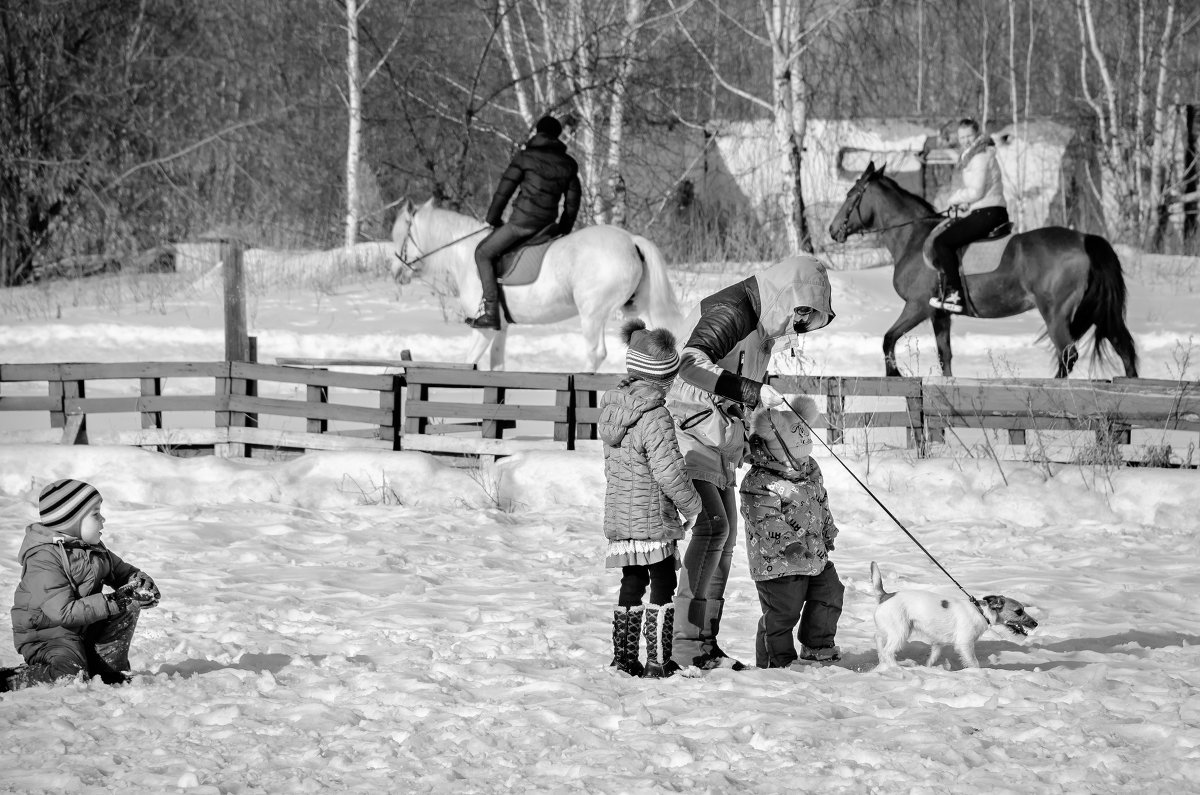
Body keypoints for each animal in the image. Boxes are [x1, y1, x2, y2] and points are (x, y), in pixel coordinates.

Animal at [388, 199, 681, 374]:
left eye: (400, 235)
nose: (396, 272)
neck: (466, 254)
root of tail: (631, 240)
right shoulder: (500, 328)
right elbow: (497, 365)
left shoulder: (484, 329)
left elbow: (468, 361)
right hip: (637, 309)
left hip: (592, 314)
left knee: (595, 353)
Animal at [830, 162, 1137, 379]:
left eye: (850, 195)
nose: (833, 230)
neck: (913, 239)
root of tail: (1084, 239)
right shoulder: (940, 314)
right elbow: (945, 356)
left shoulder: (918, 307)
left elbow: (888, 339)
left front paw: (894, 373)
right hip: (1098, 311)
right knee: (1124, 349)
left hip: (1056, 314)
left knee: (1068, 355)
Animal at [868, 564, 1036, 667]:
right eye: (1019, 611)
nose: (1036, 623)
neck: (980, 612)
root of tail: (886, 595)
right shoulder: (965, 644)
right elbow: (974, 663)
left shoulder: (938, 643)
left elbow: (932, 658)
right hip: (900, 632)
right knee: (888, 651)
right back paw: (898, 668)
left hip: (888, 630)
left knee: (878, 640)